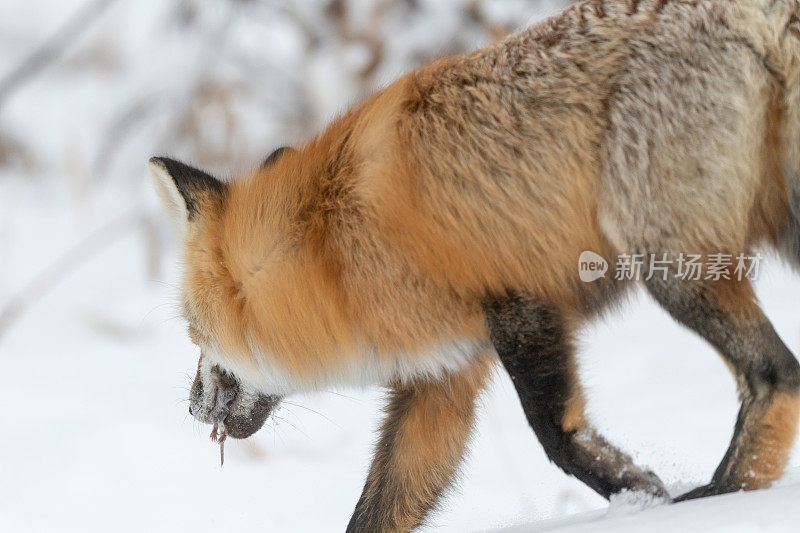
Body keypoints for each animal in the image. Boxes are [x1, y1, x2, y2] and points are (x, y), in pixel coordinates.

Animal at [150, 0, 800, 528]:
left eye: (195, 335)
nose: (191, 406)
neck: (330, 238)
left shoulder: (517, 301)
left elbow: (555, 434)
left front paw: (644, 498)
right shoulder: (442, 374)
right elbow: (383, 504)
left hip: (668, 263)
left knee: (778, 373)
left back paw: (725, 499)